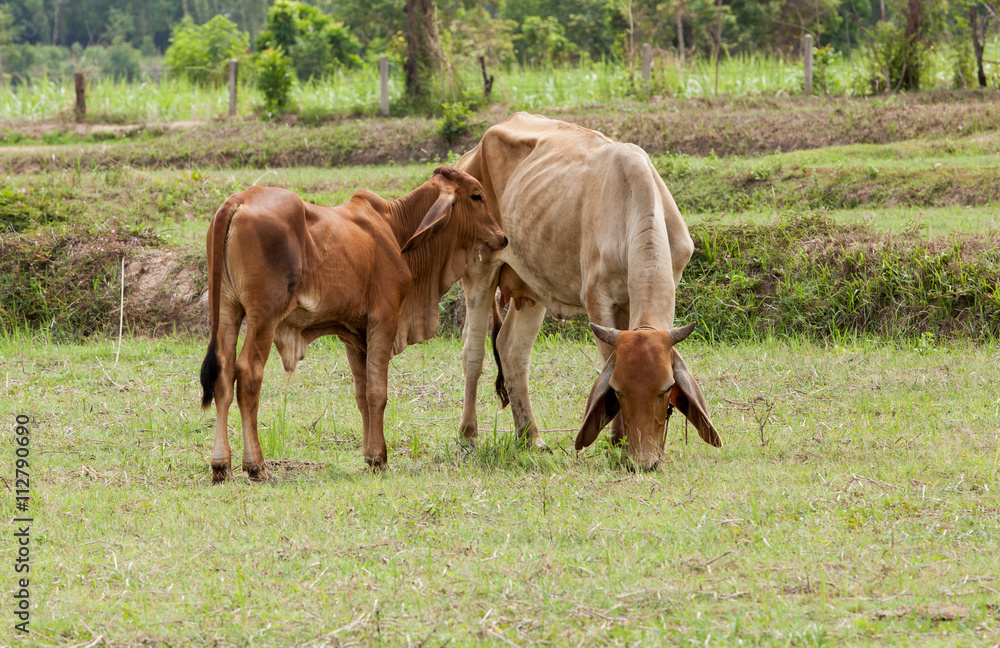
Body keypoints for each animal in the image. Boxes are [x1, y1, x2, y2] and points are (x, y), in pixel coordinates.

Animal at [199, 167, 508, 480]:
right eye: (477, 195)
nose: (503, 238)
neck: (395, 229)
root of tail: (239, 199)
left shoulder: (353, 335)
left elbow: (362, 395)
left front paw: (370, 454)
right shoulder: (384, 321)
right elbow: (377, 392)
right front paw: (379, 457)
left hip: (228, 310)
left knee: (223, 375)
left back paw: (220, 464)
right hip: (264, 317)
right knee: (248, 374)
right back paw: (255, 464)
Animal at [458, 111, 724, 468]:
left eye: (667, 389)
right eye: (618, 391)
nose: (644, 461)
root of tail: (474, 151)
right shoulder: (598, 300)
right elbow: (608, 358)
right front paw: (619, 440)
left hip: (530, 289)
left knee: (512, 350)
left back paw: (531, 437)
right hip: (479, 271)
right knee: (473, 351)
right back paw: (468, 436)